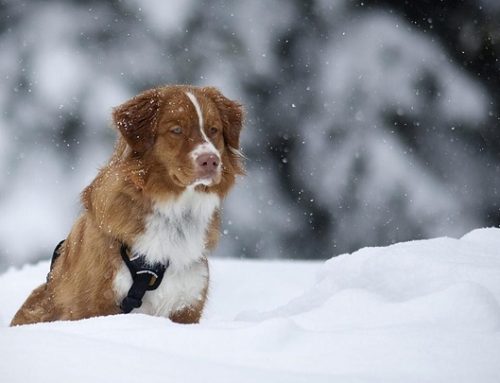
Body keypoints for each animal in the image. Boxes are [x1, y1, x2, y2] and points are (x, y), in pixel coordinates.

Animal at [10, 85, 245, 328]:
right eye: (176, 130)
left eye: (214, 129)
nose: (210, 160)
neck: (174, 213)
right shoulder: (91, 306)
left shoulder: (187, 307)